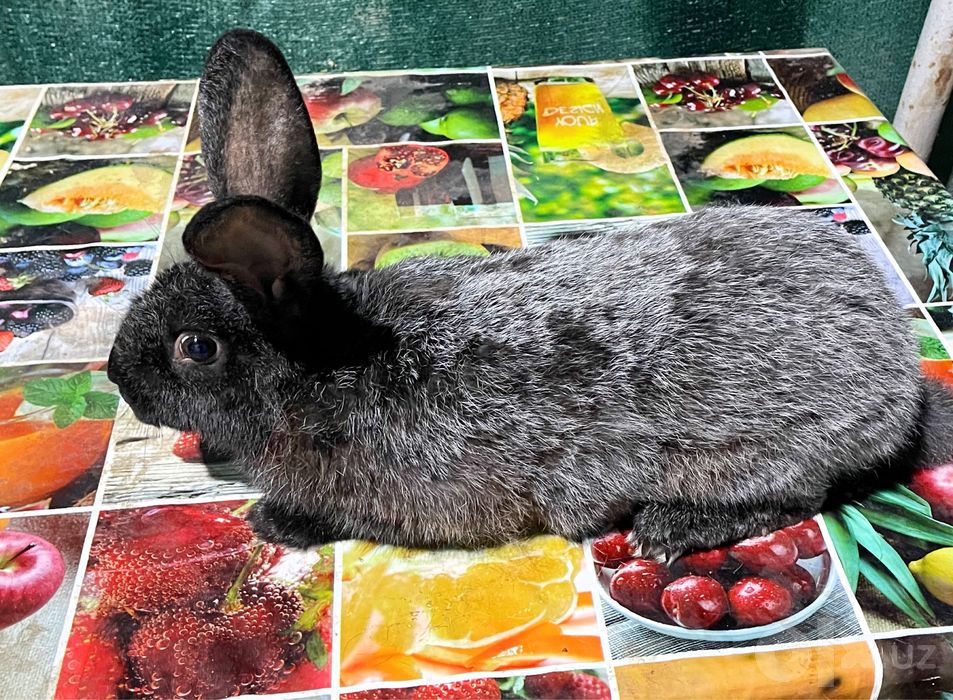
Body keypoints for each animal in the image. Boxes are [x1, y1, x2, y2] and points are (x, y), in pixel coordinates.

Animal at [107, 28, 953, 558]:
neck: (323, 365)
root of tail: (900, 376)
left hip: (753, 454)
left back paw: (670, 531)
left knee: (798, 498)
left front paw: (271, 521)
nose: (117, 379)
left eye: (196, 348)